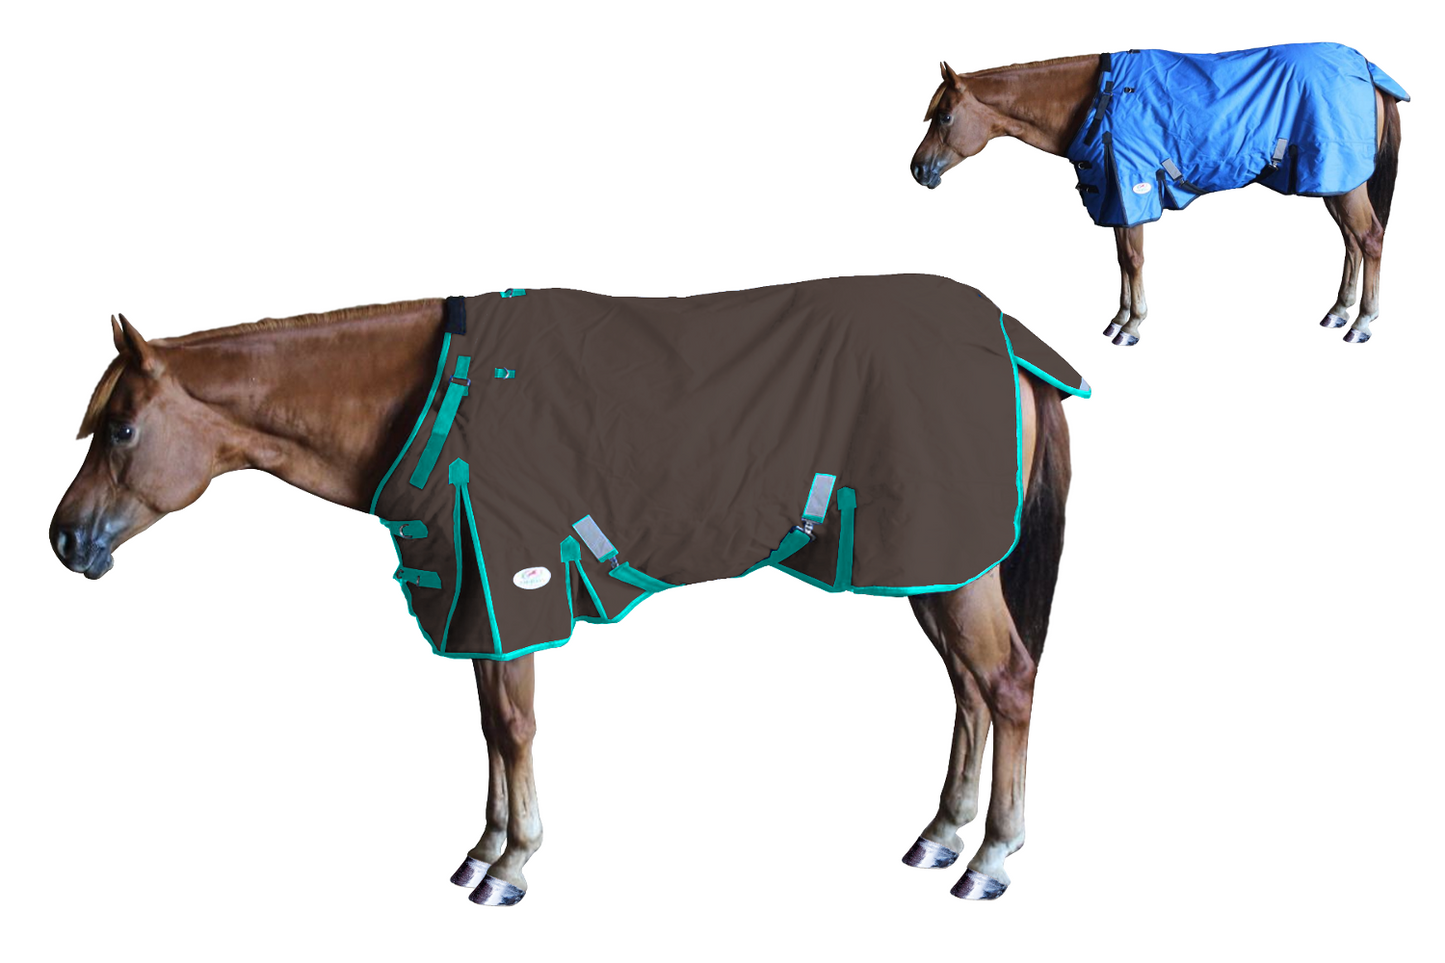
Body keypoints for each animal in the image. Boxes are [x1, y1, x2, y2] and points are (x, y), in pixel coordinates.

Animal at [49, 289, 1076, 905]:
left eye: (122, 427)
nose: (65, 539)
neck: (436, 397)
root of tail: (1014, 344)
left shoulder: (510, 586)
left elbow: (513, 725)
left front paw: (510, 866)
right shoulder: (475, 600)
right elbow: (489, 727)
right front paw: (483, 849)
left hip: (954, 568)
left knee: (1007, 683)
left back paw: (990, 858)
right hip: (929, 567)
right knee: (968, 690)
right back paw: (940, 835)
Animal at [910, 47, 1407, 346]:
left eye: (946, 116)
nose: (918, 170)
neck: (1100, 100)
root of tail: (1367, 69)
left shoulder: (1132, 189)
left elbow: (1133, 259)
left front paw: (1131, 327)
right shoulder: (1114, 196)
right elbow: (1122, 260)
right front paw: (1119, 319)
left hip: (1344, 181)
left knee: (1369, 239)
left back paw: (1363, 322)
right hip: (1333, 181)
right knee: (1351, 242)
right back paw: (1338, 312)